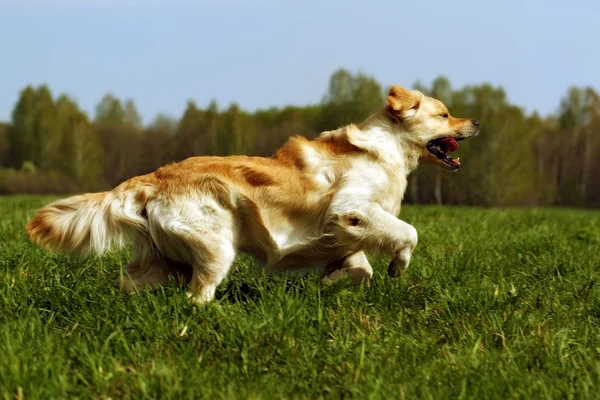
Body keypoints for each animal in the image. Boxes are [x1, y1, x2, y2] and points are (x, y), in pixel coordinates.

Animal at [25, 85, 480, 304]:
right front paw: (398, 267)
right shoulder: (351, 209)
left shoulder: (346, 236)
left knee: (133, 285)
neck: (388, 149)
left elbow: (359, 268)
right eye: (444, 114)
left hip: (161, 262)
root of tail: (153, 178)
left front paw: (331, 280)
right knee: (197, 298)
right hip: (215, 248)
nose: (475, 121)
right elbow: (407, 232)